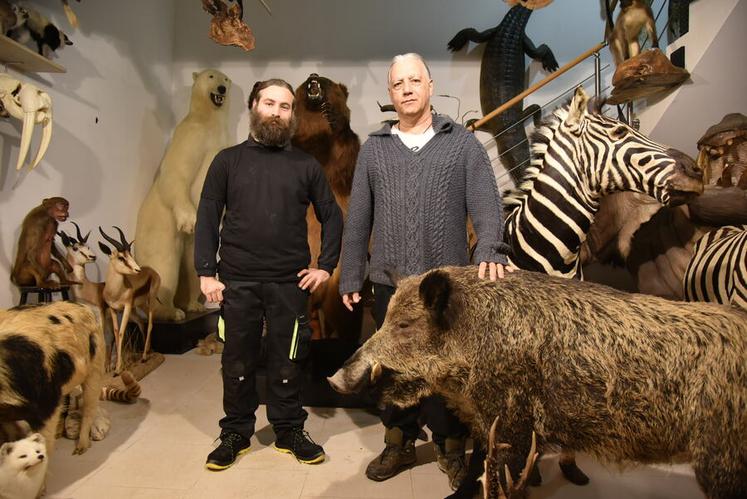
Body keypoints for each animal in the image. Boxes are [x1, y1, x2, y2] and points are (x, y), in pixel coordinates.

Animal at [133, 69, 229, 320]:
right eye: (211, 76)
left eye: (225, 78)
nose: (223, 88)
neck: (209, 121)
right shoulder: (191, 136)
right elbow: (176, 173)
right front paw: (189, 220)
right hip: (161, 231)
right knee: (164, 267)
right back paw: (168, 310)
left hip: (196, 242)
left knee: (191, 266)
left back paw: (192, 304)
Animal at [292, 74, 362, 344]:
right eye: (305, 81)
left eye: (326, 79)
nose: (313, 76)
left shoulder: (340, 165)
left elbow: (347, 150)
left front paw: (334, 116)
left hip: (337, 280)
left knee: (344, 315)